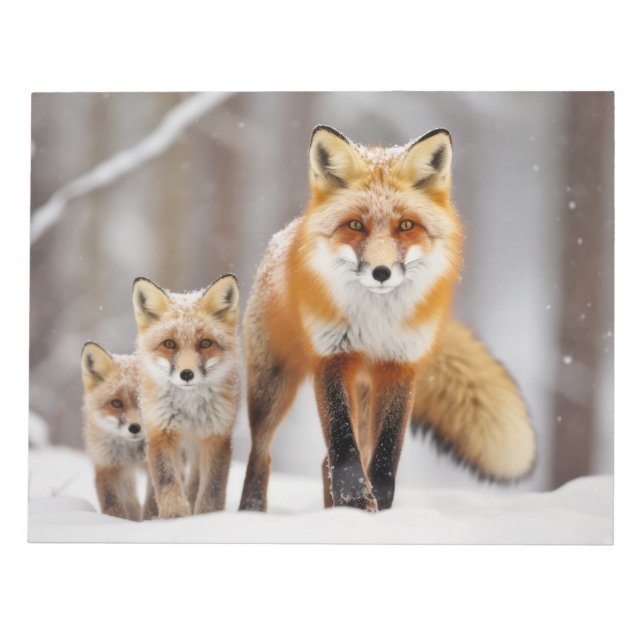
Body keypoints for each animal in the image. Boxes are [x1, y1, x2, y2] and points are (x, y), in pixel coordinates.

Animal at [81, 342, 157, 521]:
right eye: (116, 403)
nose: (135, 427)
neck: (133, 451)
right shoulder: (106, 463)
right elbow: (112, 503)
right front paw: (117, 522)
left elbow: (153, 503)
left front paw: (151, 522)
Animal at [132, 274, 241, 519]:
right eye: (169, 344)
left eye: (205, 343)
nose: (187, 374)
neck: (190, 409)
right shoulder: (161, 431)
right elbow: (167, 482)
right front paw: (175, 517)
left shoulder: (216, 434)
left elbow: (212, 489)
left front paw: (207, 516)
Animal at [239, 125, 536, 512]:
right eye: (355, 225)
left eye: (406, 225)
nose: (381, 272)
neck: (375, 321)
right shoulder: (331, 358)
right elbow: (342, 445)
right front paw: (354, 500)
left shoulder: (400, 366)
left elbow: (385, 453)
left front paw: (375, 504)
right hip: (272, 384)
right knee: (262, 453)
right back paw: (252, 511)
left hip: (363, 395)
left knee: (328, 460)